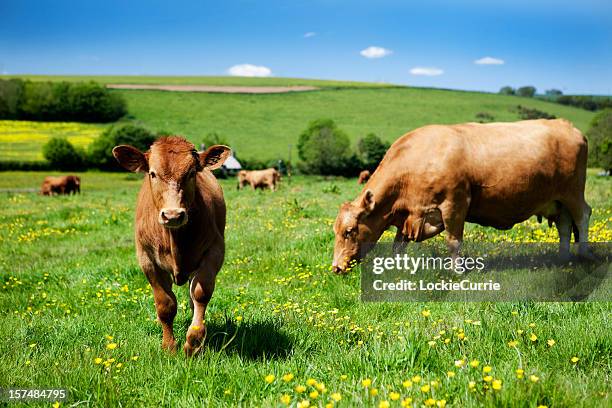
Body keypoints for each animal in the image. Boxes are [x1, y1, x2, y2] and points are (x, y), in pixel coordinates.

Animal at [113, 136, 232, 354]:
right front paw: (169, 346)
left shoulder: (215, 251)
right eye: (152, 173)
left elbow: (201, 294)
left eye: (192, 173)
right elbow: (165, 304)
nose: (173, 215)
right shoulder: (147, 260)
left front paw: (194, 342)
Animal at [332, 119, 592, 272]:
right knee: (564, 225)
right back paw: (562, 258)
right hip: (557, 200)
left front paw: (457, 271)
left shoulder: (454, 204)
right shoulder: (410, 214)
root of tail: (566, 124)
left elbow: (453, 241)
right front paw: (396, 268)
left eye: (349, 231)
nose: (335, 268)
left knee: (583, 216)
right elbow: (398, 246)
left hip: (573, 193)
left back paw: (583, 254)